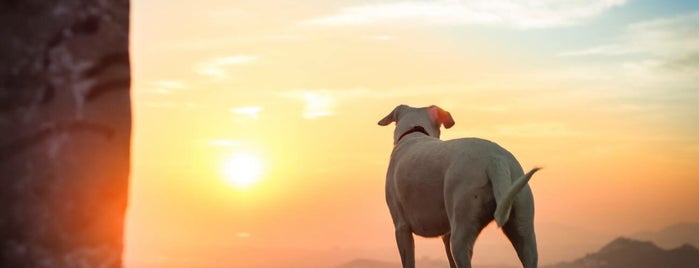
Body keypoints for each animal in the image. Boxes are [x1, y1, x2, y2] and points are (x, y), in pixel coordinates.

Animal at [380, 104, 540, 268]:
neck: (414, 131)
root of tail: (495, 159)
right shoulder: (446, 233)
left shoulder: (402, 228)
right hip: (524, 231)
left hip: (461, 233)